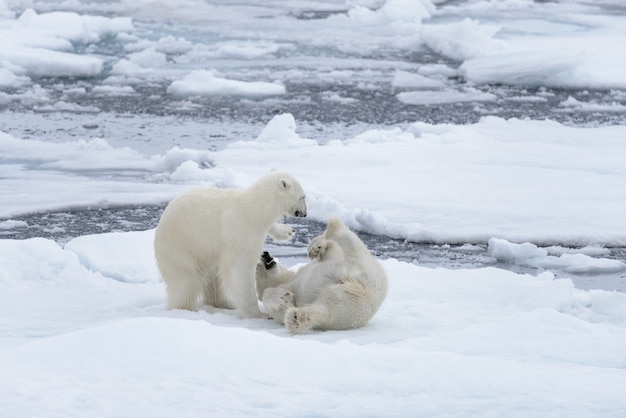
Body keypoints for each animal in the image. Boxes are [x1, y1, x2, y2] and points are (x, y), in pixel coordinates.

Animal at [154, 170, 304, 316]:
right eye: (303, 197)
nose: (304, 214)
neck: (254, 210)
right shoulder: (240, 230)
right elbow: (241, 267)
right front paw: (256, 313)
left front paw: (288, 231)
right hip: (182, 246)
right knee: (187, 279)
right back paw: (185, 309)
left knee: (213, 277)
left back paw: (225, 303)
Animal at [254, 216, 386, 334]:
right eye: (258, 267)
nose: (265, 254)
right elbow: (274, 301)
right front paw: (284, 297)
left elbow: (331, 253)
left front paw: (318, 248)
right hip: (346, 302)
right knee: (324, 310)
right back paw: (296, 318)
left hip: (360, 271)